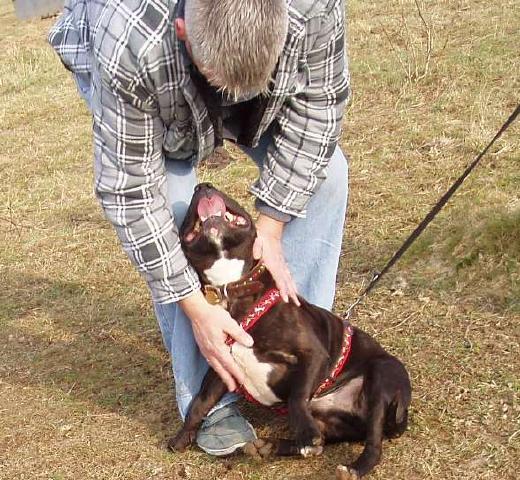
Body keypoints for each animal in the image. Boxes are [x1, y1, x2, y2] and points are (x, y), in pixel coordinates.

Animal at [169, 183, 412, 476]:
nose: (202, 185)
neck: (233, 288)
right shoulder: (220, 368)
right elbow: (199, 403)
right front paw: (181, 437)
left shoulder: (312, 354)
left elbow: (297, 397)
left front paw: (306, 434)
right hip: (334, 421)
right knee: (322, 439)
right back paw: (270, 446)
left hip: (381, 376)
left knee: (372, 443)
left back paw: (352, 466)